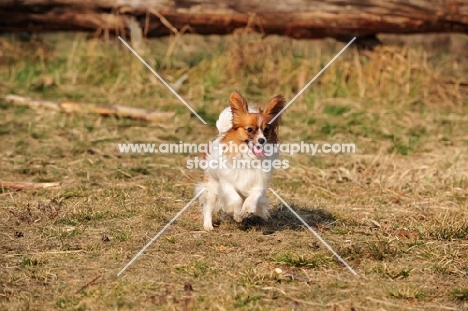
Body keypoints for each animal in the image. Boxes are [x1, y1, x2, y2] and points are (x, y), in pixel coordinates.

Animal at [195, 91, 286, 230]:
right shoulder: (226, 183)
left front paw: (247, 209)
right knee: (209, 205)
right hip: (212, 186)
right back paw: (208, 225)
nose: (262, 140)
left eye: (266, 130)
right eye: (250, 129)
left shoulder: (259, 182)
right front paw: (238, 214)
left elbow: (254, 196)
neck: (249, 156)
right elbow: (236, 199)